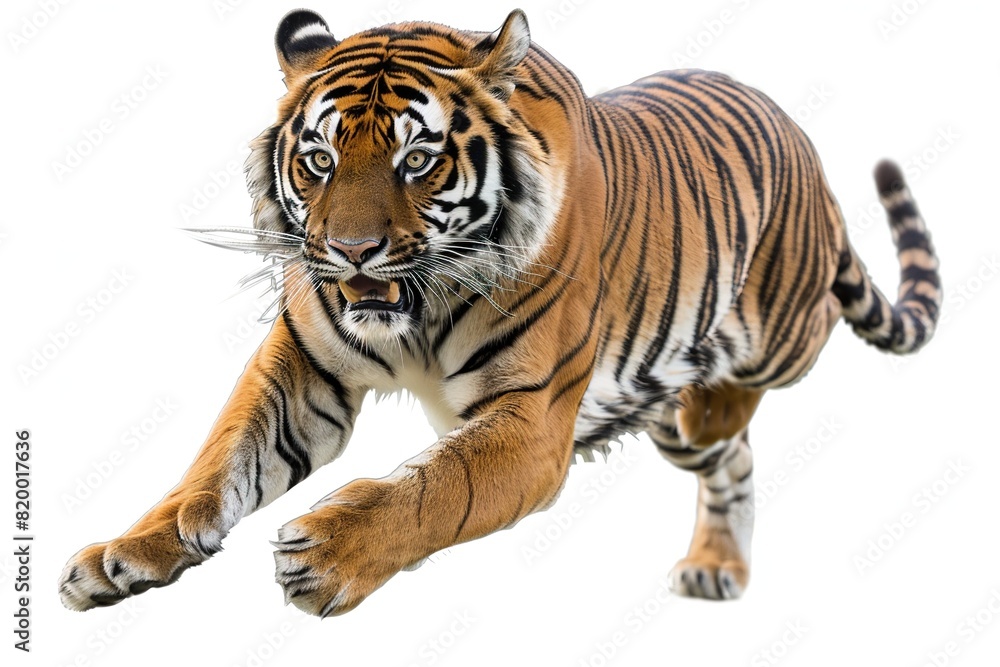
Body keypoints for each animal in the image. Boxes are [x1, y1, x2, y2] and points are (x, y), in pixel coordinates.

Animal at [59, 8, 940, 615]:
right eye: (319, 159)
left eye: (417, 159)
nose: (350, 252)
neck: (413, 311)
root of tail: (806, 145)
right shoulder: (304, 365)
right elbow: (218, 460)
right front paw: (122, 555)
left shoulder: (534, 417)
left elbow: (437, 487)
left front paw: (330, 553)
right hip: (668, 421)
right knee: (733, 458)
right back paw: (715, 566)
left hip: (780, 326)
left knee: (781, 363)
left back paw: (718, 405)